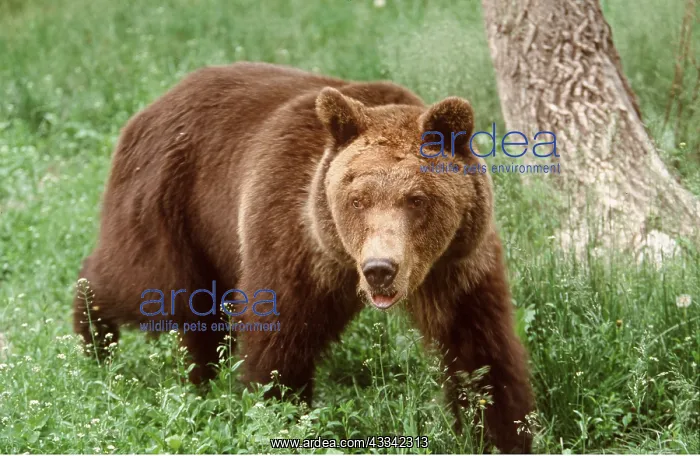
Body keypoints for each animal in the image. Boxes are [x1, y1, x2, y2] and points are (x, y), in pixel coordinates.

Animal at [73, 61, 534, 453]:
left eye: (417, 199)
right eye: (357, 199)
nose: (380, 270)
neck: (342, 258)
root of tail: (150, 107)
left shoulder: (456, 264)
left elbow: (480, 351)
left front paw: (500, 432)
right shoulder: (294, 238)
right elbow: (279, 339)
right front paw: (280, 411)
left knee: (198, 316)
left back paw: (201, 378)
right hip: (170, 203)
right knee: (148, 286)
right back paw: (93, 337)